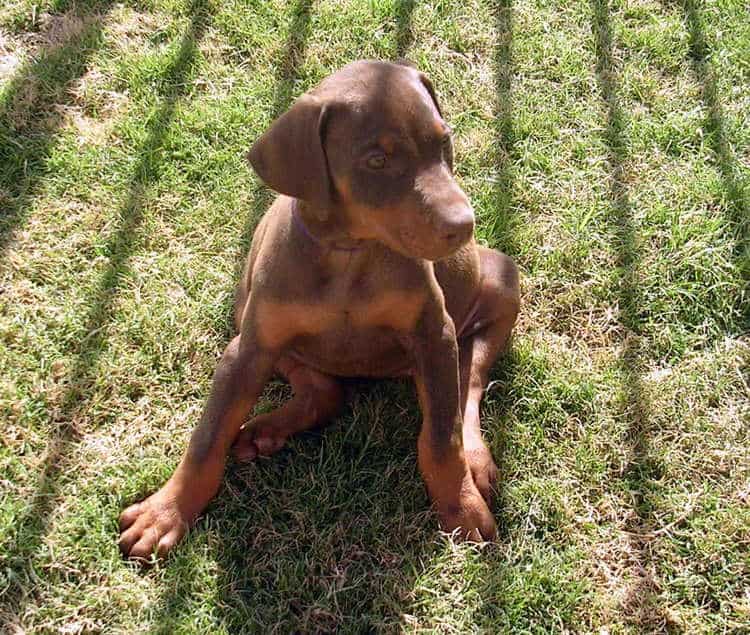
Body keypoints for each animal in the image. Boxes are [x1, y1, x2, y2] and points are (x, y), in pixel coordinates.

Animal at [120, 58, 520, 556]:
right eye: (376, 160)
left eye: (442, 142)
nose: (464, 225)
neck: (349, 254)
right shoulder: (250, 347)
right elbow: (207, 437)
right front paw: (164, 512)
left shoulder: (434, 333)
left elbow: (441, 437)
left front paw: (460, 507)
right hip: (250, 314)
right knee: (326, 392)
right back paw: (264, 431)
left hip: (501, 281)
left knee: (468, 384)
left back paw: (476, 460)